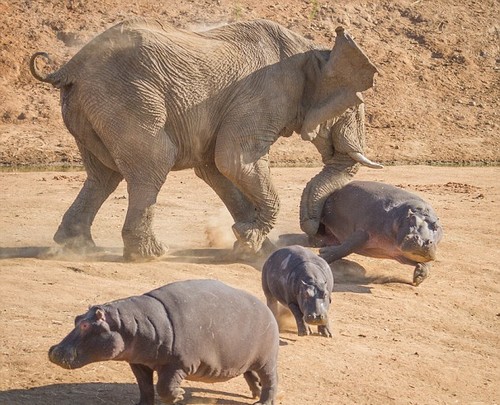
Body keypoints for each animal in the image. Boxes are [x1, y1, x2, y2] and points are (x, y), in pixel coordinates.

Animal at [29, 18, 376, 258]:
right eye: (352, 106)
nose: (314, 232)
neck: (314, 51)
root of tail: (70, 66)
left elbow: (215, 168)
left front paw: (251, 245)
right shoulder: (263, 95)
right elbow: (234, 160)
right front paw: (250, 239)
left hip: (90, 108)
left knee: (103, 175)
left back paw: (77, 247)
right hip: (127, 99)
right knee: (152, 164)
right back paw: (150, 255)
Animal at [48, 278, 280, 404]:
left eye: (86, 326)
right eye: (77, 318)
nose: (53, 350)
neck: (131, 324)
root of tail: (267, 309)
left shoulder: (178, 364)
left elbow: (164, 388)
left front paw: (180, 395)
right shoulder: (138, 362)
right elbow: (145, 387)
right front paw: (141, 404)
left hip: (266, 359)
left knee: (271, 380)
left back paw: (262, 402)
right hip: (246, 359)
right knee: (250, 375)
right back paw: (255, 394)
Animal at [314, 180, 444, 284]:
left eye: (436, 226)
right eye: (411, 219)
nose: (423, 242)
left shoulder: (399, 254)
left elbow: (425, 263)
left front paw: (418, 278)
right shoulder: (363, 231)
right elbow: (347, 247)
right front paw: (323, 255)